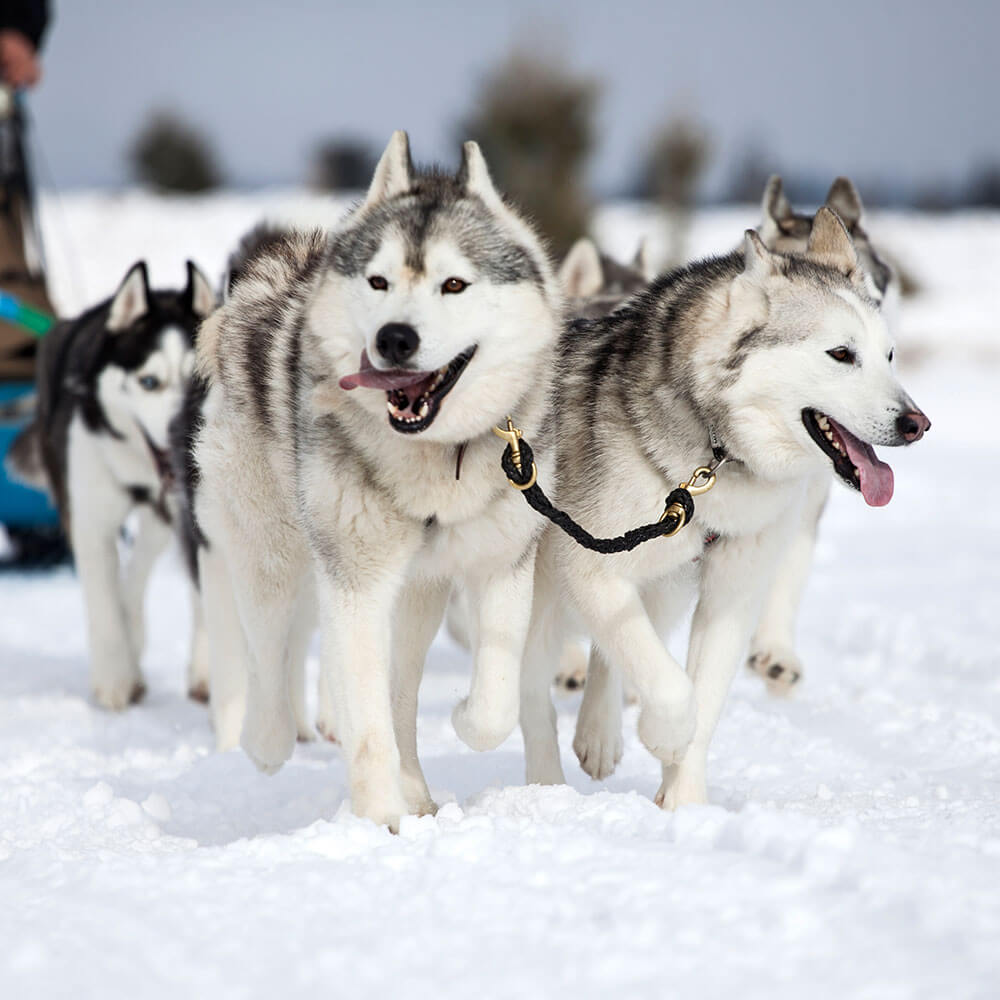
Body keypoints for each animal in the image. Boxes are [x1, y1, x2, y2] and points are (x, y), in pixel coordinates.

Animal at [8, 262, 215, 708]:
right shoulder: (90, 520)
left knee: (141, 569)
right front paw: (114, 680)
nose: (182, 432)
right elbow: (103, 600)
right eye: (149, 382)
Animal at [191, 135, 560, 836]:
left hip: (417, 595)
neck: (434, 461)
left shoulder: (504, 563)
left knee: (400, 689)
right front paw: (380, 821)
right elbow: (364, 721)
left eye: (453, 283)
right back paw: (268, 741)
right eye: (378, 281)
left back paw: (416, 788)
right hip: (272, 557)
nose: (395, 338)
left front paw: (463, 719)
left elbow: (493, 704)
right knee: (270, 657)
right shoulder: (355, 581)